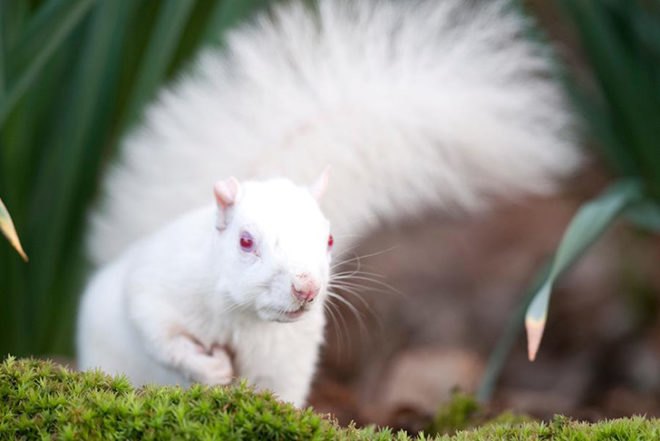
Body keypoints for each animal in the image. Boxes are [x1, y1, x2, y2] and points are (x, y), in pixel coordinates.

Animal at [77, 0, 581, 407]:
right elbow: (163, 339)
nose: (306, 288)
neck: (244, 319)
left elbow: (277, 394)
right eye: (245, 242)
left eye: (330, 239)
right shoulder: (153, 292)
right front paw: (210, 368)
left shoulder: (287, 360)